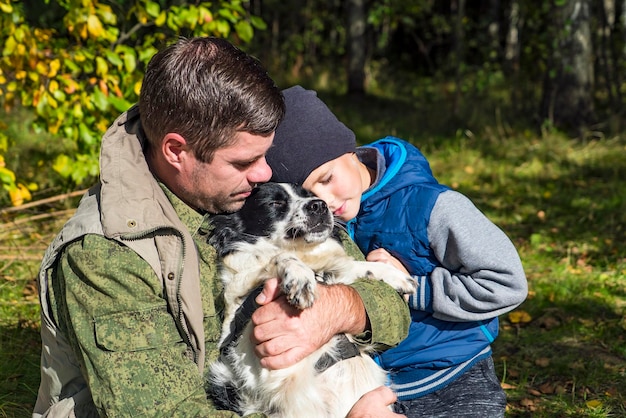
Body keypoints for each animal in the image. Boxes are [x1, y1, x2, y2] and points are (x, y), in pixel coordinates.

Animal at [207, 183, 416, 418]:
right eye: (275, 203)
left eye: (310, 195)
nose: (319, 205)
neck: (303, 254)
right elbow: (278, 258)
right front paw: (299, 277)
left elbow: (350, 266)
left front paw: (395, 275)